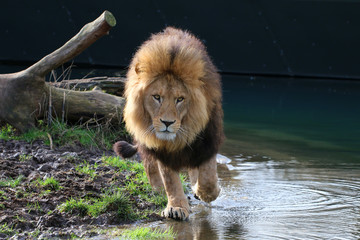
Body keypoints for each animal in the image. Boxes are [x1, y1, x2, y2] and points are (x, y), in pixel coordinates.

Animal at [114, 27, 224, 220]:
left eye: (180, 99)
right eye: (157, 97)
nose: (167, 122)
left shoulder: (207, 140)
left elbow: (208, 178)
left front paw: (206, 191)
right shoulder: (162, 148)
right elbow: (170, 180)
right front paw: (176, 207)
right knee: (150, 165)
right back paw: (157, 189)